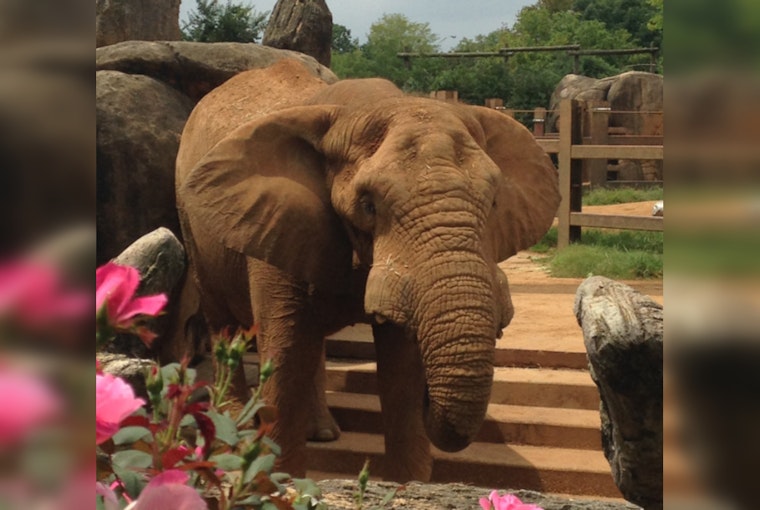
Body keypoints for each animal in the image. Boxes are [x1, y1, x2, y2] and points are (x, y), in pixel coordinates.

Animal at [175, 58, 560, 482]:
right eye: (368, 205)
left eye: (493, 203)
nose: (431, 400)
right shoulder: (274, 224)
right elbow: (286, 357)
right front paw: (276, 479)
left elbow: (401, 374)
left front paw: (407, 483)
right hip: (192, 224)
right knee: (224, 323)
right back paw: (232, 434)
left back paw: (322, 432)